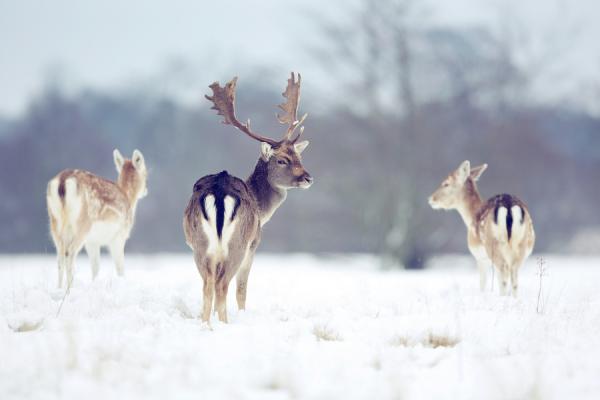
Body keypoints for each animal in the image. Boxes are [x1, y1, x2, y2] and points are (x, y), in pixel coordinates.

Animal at [46, 148, 148, 290]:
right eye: (146, 173)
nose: (146, 190)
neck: (128, 198)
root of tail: (62, 182)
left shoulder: (92, 241)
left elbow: (95, 267)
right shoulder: (119, 236)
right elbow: (120, 267)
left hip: (54, 222)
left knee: (60, 256)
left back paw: (59, 288)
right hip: (82, 224)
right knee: (69, 252)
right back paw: (69, 288)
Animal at [183, 72, 314, 322]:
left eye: (298, 156)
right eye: (282, 160)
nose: (308, 178)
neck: (261, 209)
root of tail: (219, 191)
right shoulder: (254, 246)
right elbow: (242, 290)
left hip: (199, 245)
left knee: (208, 285)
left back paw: (207, 324)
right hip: (238, 244)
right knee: (223, 285)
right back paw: (224, 323)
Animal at [428, 161, 536, 296]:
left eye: (446, 183)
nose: (431, 199)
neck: (471, 217)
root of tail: (508, 206)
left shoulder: (480, 256)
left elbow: (483, 283)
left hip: (493, 245)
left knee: (504, 273)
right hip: (522, 244)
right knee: (514, 275)